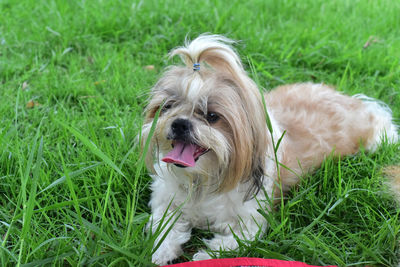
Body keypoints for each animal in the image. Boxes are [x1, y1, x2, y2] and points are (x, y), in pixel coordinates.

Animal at [142, 34, 398, 266]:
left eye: (211, 116)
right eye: (168, 106)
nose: (180, 123)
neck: (204, 179)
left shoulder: (250, 222)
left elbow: (230, 242)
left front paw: (205, 256)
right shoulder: (165, 201)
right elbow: (164, 226)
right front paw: (162, 251)